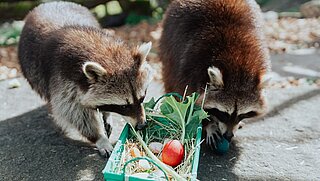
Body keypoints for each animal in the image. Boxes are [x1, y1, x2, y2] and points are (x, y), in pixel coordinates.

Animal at [18, 1, 154, 155]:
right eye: (124, 106)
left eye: (142, 98)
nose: (142, 125)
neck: (101, 52)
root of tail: (50, 3)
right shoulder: (62, 79)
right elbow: (72, 111)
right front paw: (99, 138)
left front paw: (106, 112)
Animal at [160, 0, 270, 148]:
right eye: (223, 114)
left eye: (242, 114)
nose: (228, 136)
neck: (238, 66)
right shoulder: (190, 67)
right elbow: (190, 101)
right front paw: (209, 124)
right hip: (169, 44)